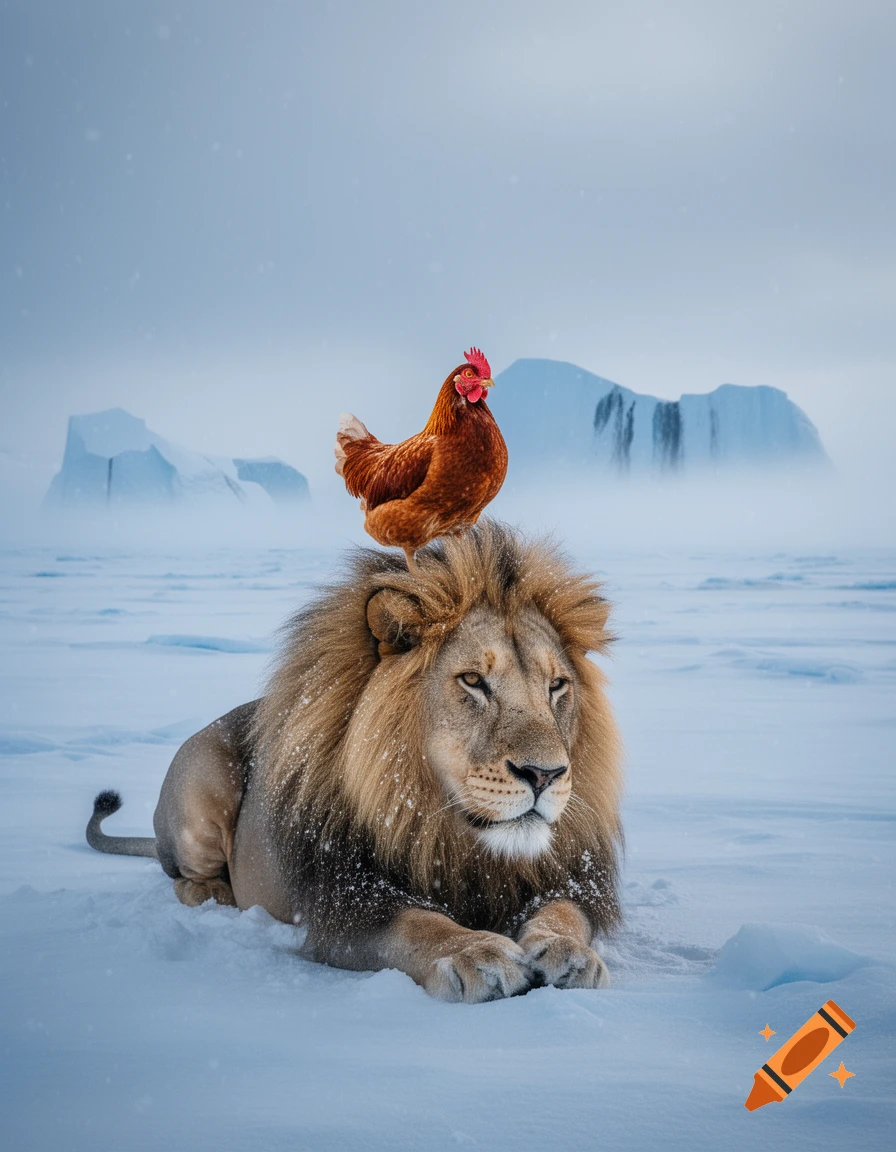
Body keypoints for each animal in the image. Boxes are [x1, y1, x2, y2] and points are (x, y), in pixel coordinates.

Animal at [86, 521, 623, 1002]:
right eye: (472, 681)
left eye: (557, 686)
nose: (545, 774)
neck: (453, 834)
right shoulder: (348, 896)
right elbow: (418, 923)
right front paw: (477, 954)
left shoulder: (571, 877)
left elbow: (564, 913)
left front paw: (570, 954)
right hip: (201, 779)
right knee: (182, 877)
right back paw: (219, 898)